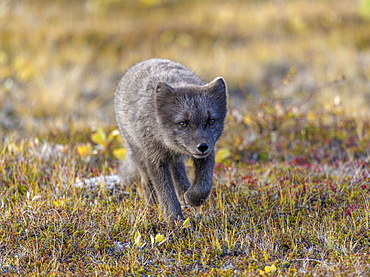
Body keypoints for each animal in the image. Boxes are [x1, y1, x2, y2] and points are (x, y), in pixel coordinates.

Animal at [115, 59, 228, 223]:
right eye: (183, 123)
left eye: (211, 121)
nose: (202, 147)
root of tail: (144, 62)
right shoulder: (155, 159)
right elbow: (166, 192)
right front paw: (175, 220)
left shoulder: (209, 152)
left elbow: (204, 185)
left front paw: (192, 198)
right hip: (138, 153)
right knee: (146, 182)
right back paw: (152, 205)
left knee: (178, 173)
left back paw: (184, 195)